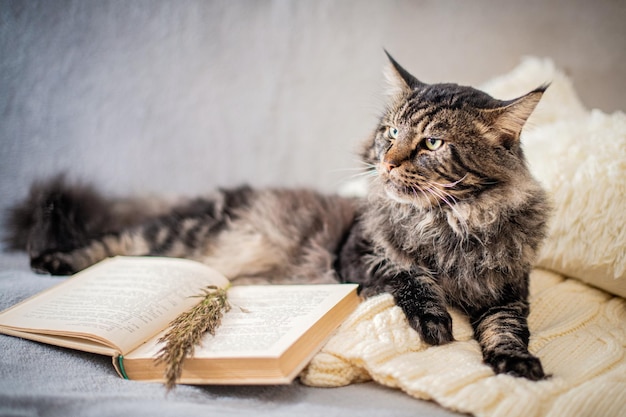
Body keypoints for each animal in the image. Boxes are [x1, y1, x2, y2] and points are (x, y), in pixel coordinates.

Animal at [3, 50, 544, 378]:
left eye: (432, 143)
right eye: (391, 132)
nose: (388, 162)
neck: (450, 225)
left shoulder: (508, 290)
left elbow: (506, 327)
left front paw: (516, 364)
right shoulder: (360, 254)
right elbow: (412, 277)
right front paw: (436, 324)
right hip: (180, 235)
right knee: (116, 244)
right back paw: (53, 261)